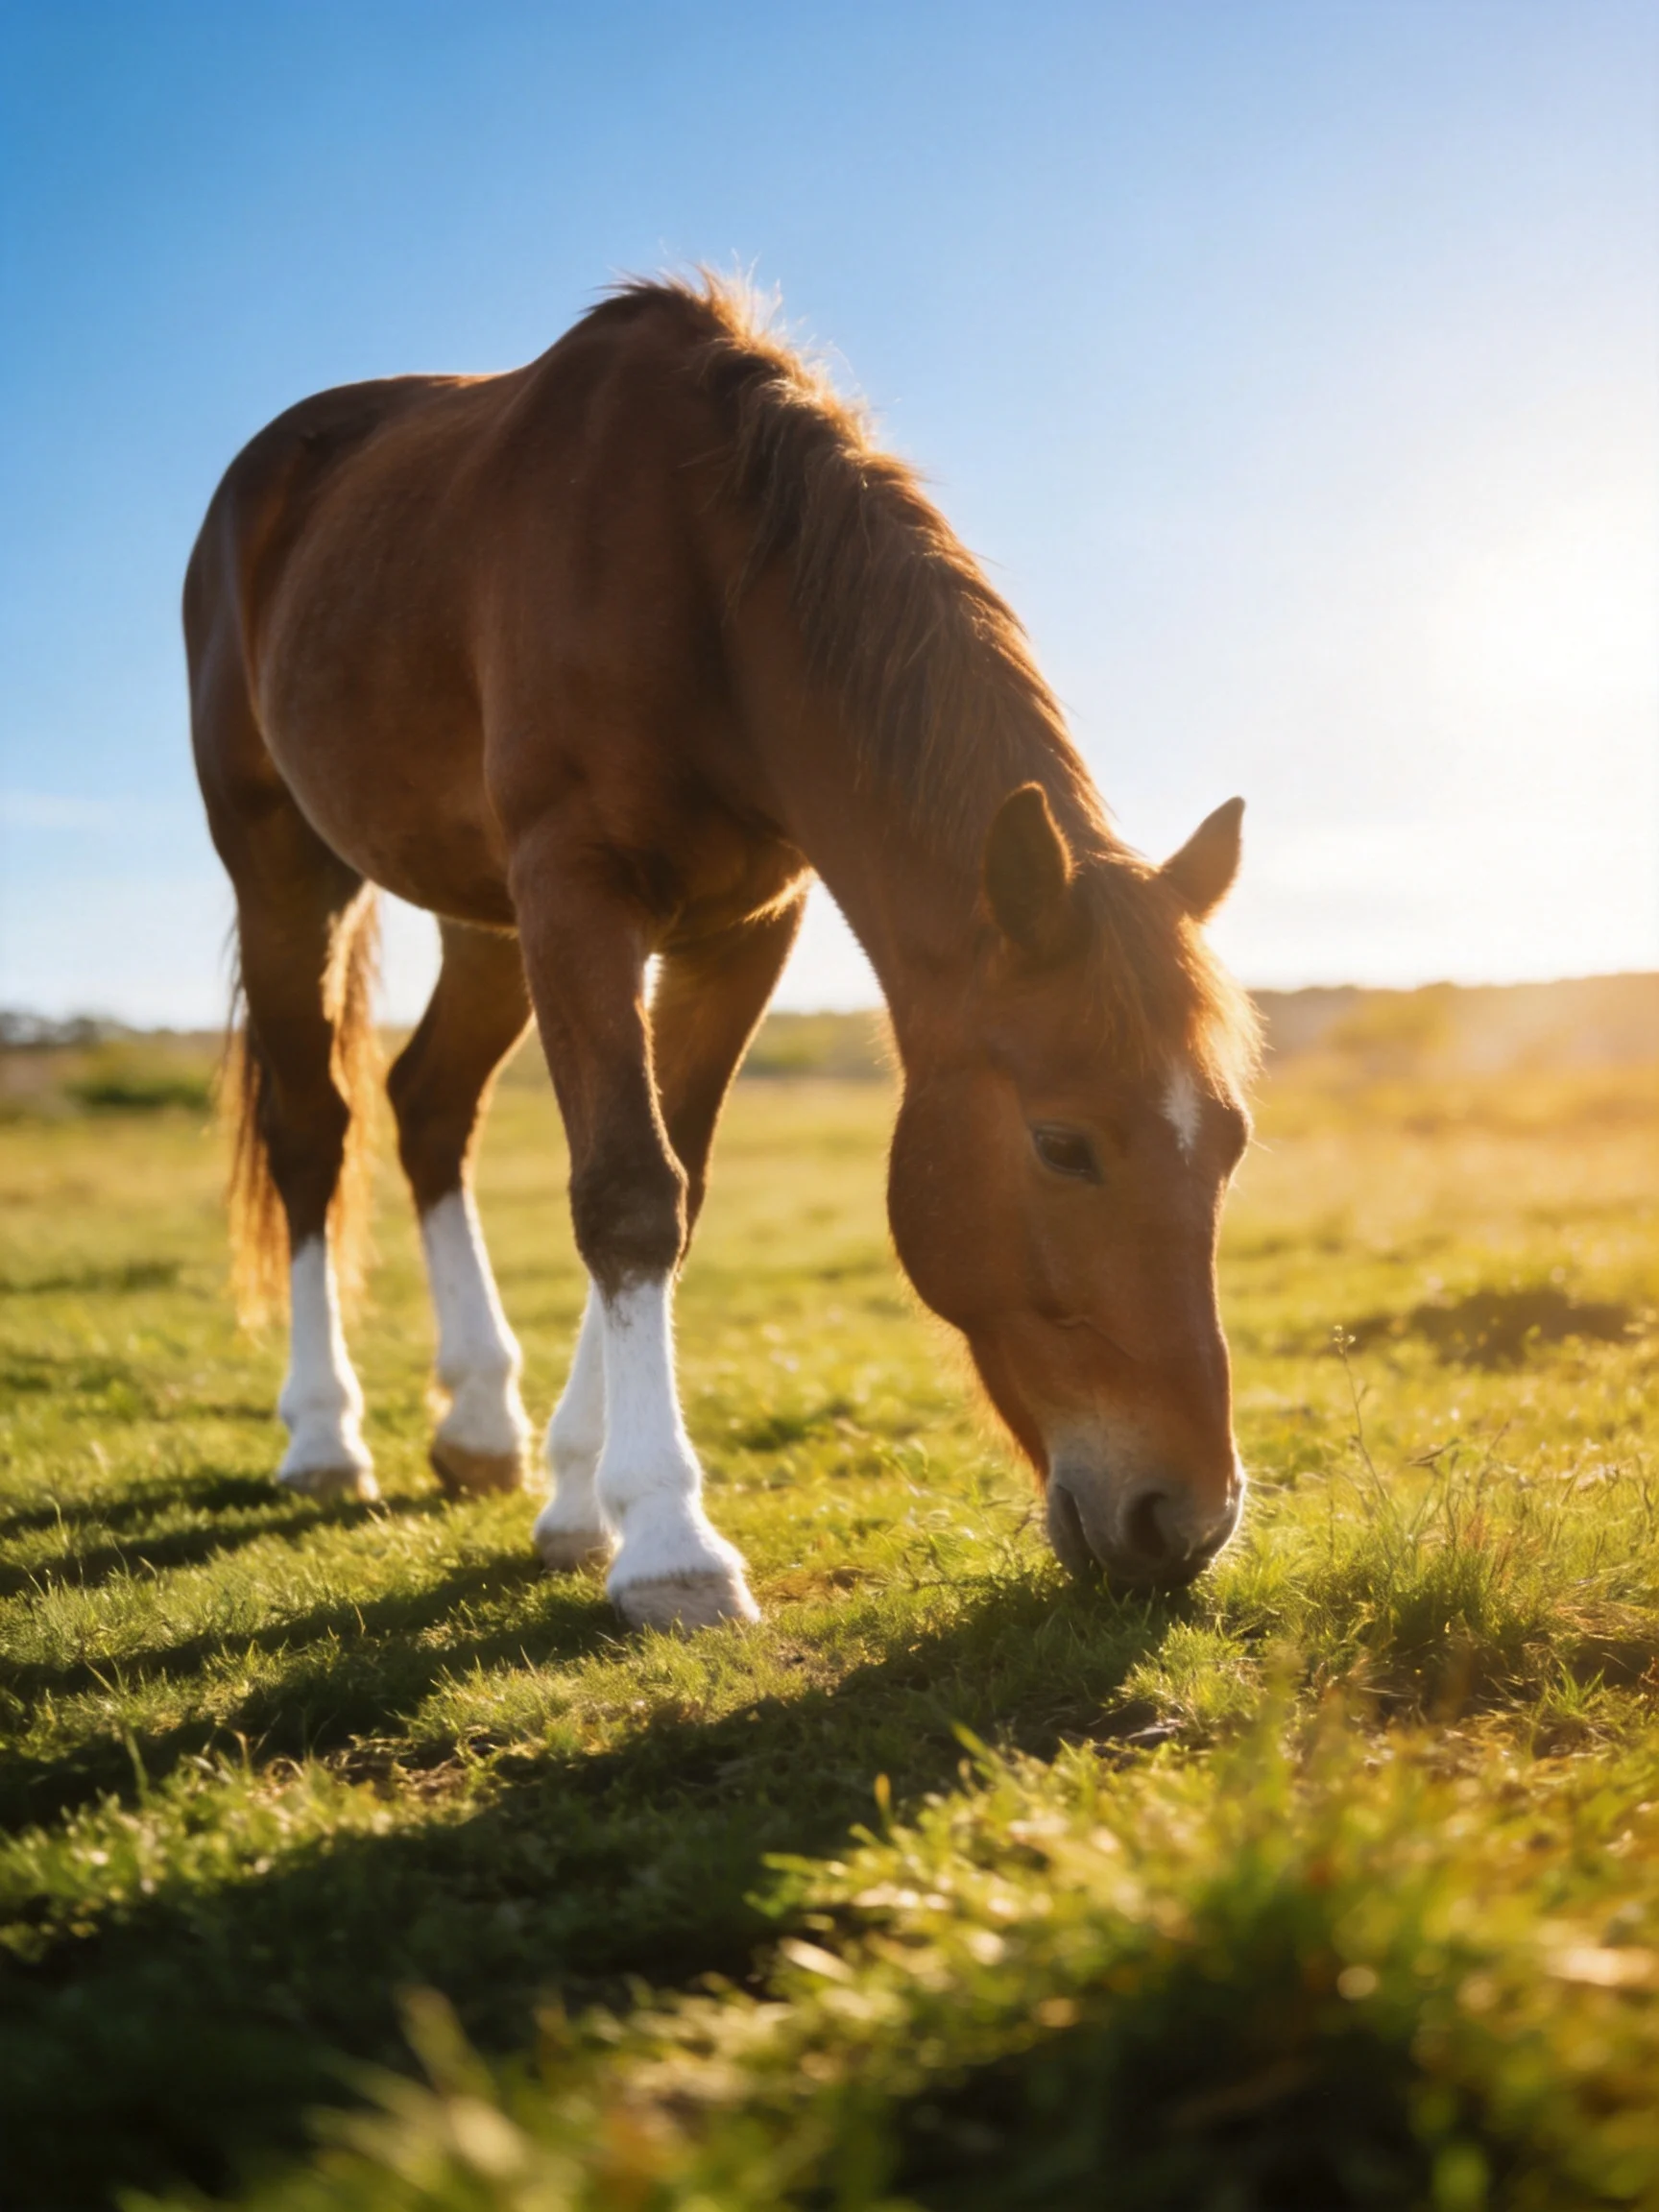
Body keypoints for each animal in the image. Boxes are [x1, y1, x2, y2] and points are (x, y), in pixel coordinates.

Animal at [185, 276, 1260, 1632]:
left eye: (1231, 1144)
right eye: (1063, 1146)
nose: (1190, 1521)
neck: (703, 581)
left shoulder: (746, 927)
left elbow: (678, 1186)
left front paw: (580, 1496)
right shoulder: (577, 889)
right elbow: (626, 1193)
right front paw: (669, 1543)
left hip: (481, 916)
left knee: (427, 1105)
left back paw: (481, 1422)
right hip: (284, 867)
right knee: (313, 1133)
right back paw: (325, 1436)